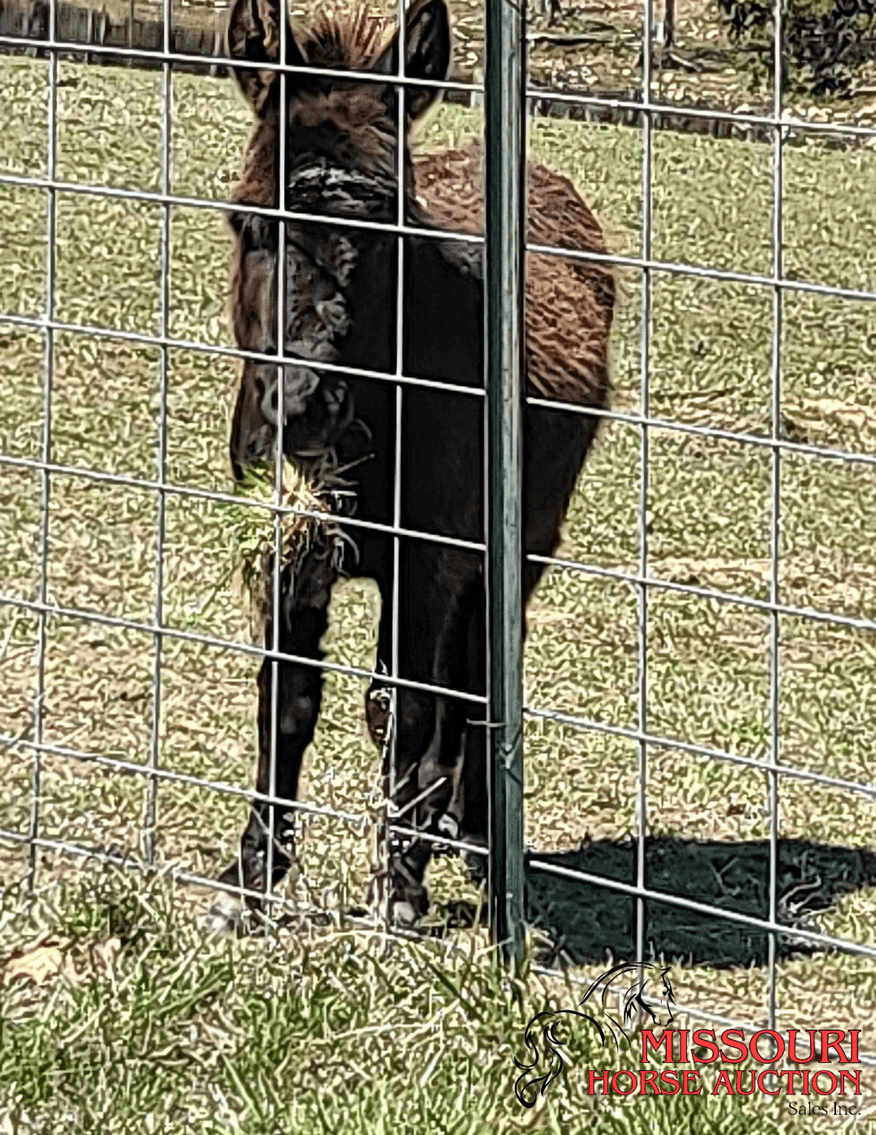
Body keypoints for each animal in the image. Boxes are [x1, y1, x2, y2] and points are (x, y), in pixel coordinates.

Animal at [209, 0, 615, 931]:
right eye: (250, 224)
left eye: (395, 235)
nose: (304, 404)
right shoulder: (291, 549)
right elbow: (286, 700)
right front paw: (253, 877)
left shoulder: (426, 563)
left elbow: (402, 707)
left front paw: (396, 885)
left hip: (517, 545)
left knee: (478, 680)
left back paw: (467, 833)